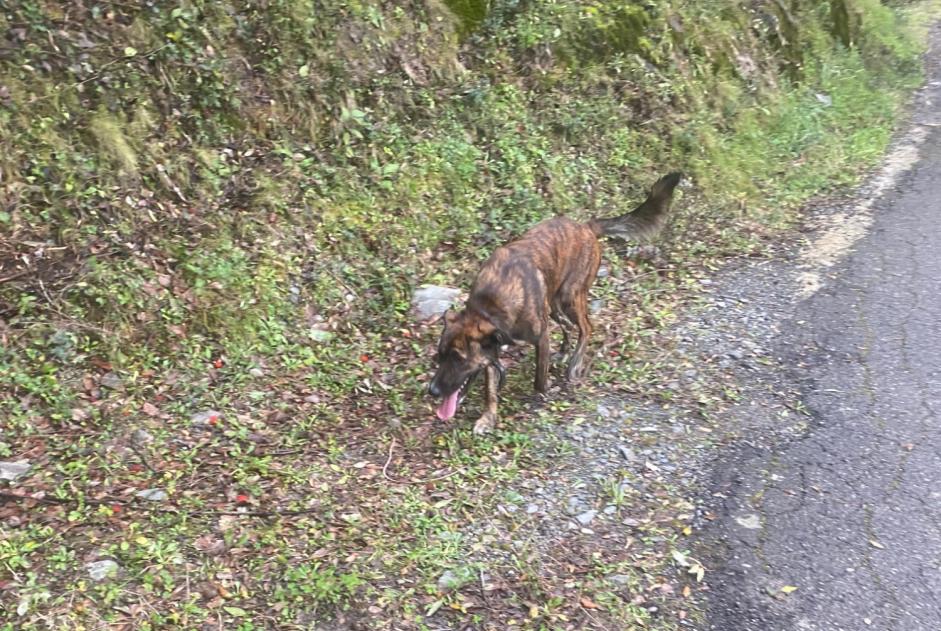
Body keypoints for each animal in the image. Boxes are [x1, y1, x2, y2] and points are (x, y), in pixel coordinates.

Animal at [428, 172, 684, 434]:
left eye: (459, 359)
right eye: (440, 355)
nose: (432, 391)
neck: (490, 306)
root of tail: (586, 227)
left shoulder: (538, 336)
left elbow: (539, 379)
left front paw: (545, 393)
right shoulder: (491, 352)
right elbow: (490, 390)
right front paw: (488, 418)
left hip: (570, 297)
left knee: (586, 327)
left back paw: (574, 364)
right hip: (553, 305)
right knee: (568, 326)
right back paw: (563, 351)